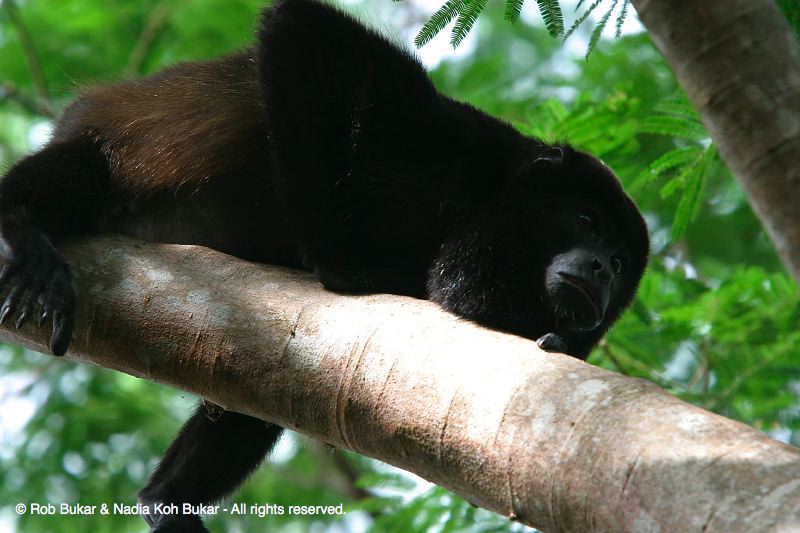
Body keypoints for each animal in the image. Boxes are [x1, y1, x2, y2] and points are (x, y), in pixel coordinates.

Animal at [0, 0, 649, 531]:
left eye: (621, 263)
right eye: (588, 221)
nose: (601, 270)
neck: (484, 206)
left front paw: (558, 340)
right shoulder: (448, 135)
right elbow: (303, 29)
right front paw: (348, 263)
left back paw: (166, 502)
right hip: (91, 149)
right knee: (75, 173)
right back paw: (25, 235)